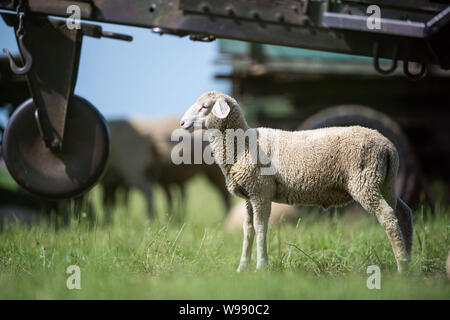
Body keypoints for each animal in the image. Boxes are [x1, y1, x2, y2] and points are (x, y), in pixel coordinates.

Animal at [181, 90, 414, 272]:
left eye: (205, 107)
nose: (182, 123)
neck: (242, 145)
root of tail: (387, 145)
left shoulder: (261, 192)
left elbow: (260, 228)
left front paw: (261, 266)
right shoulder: (248, 196)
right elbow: (248, 231)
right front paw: (242, 268)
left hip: (364, 181)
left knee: (388, 216)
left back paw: (401, 266)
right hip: (385, 182)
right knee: (403, 211)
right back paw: (409, 256)